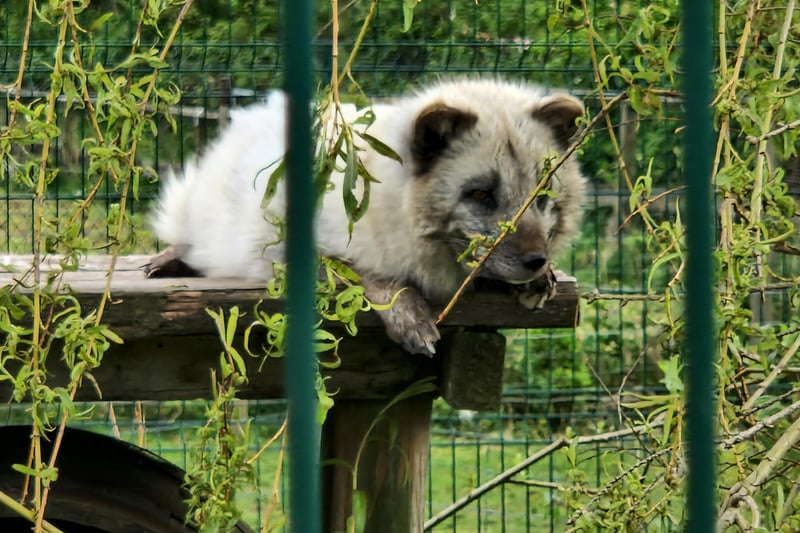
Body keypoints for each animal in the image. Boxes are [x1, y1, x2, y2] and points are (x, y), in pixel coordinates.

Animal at [148, 78, 588, 354]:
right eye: (481, 194)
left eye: (542, 195)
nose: (536, 261)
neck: (394, 200)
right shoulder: (289, 252)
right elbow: (366, 275)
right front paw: (409, 316)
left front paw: (543, 279)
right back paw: (168, 260)